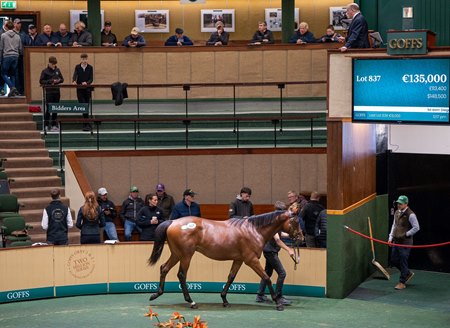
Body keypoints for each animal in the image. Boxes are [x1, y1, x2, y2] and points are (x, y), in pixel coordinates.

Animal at [149, 204, 302, 312]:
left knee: (164, 268)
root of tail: (172, 222)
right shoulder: (251, 260)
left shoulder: (239, 260)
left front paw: (224, 300)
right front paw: (278, 303)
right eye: (295, 221)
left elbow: (231, 277)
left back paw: (156, 294)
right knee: (181, 275)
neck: (254, 230)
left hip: (177, 254)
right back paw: (191, 302)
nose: (301, 237)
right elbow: (266, 278)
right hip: (186, 255)